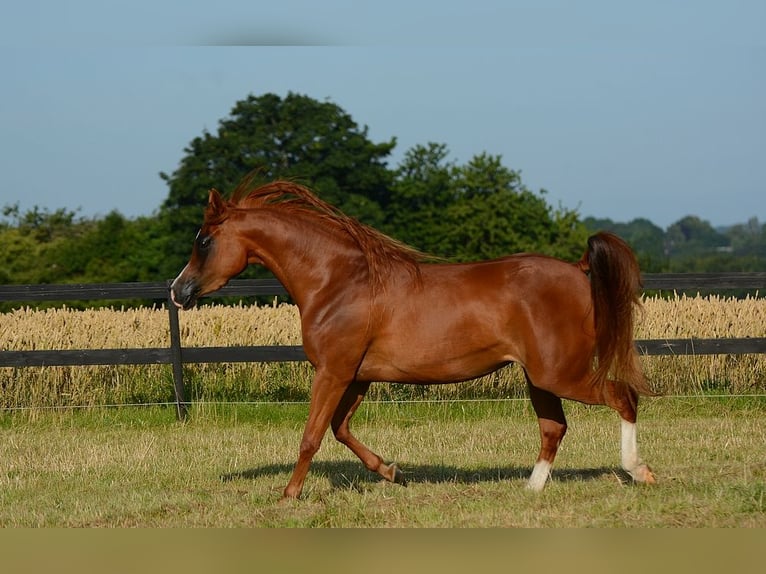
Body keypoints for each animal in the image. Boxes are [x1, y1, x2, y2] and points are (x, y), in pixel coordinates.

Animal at [171, 178, 656, 502]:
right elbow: (340, 429)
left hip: (560, 373)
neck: (337, 281)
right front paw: (392, 472)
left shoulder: (333, 372)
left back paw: (638, 471)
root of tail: (578, 269)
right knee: (554, 427)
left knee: (623, 396)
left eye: (204, 240)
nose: (178, 291)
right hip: (539, 377)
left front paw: (289, 495)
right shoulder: (357, 376)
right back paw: (530, 488)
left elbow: (312, 435)